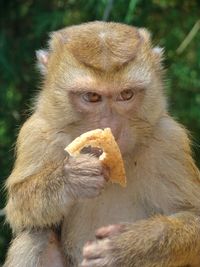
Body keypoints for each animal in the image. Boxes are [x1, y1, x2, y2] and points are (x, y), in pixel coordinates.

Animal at [2, 21, 200, 267]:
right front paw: (72, 178)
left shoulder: (169, 141)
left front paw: (125, 246)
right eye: (92, 97)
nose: (111, 128)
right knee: (35, 235)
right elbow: (17, 208)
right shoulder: (36, 134)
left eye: (126, 94)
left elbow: (193, 215)